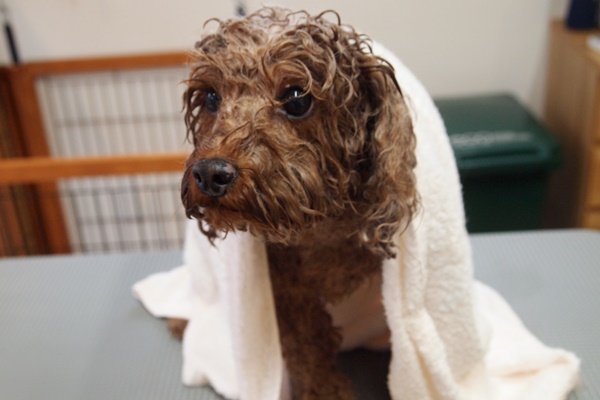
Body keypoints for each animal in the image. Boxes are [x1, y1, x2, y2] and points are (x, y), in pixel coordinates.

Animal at [177, 7, 418, 399]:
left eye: (297, 99)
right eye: (211, 97)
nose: (210, 173)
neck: (320, 232)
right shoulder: (287, 291)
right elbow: (308, 345)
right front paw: (325, 389)